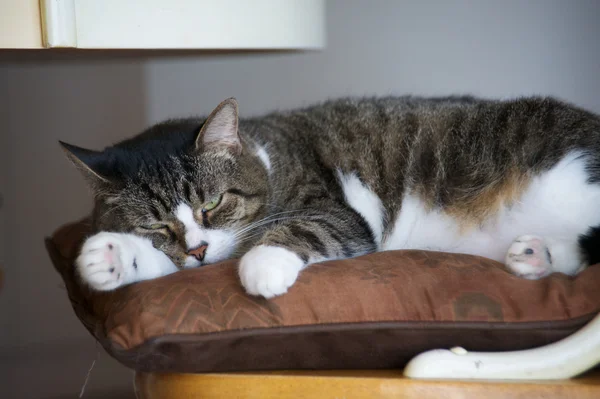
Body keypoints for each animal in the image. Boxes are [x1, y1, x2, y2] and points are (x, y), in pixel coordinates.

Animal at [59, 96, 600, 296]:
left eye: (211, 204)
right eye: (154, 225)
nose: (197, 248)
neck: (267, 158)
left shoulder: (338, 213)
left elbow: (298, 227)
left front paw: (262, 265)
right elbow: (168, 264)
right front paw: (110, 256)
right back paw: (535, 255)